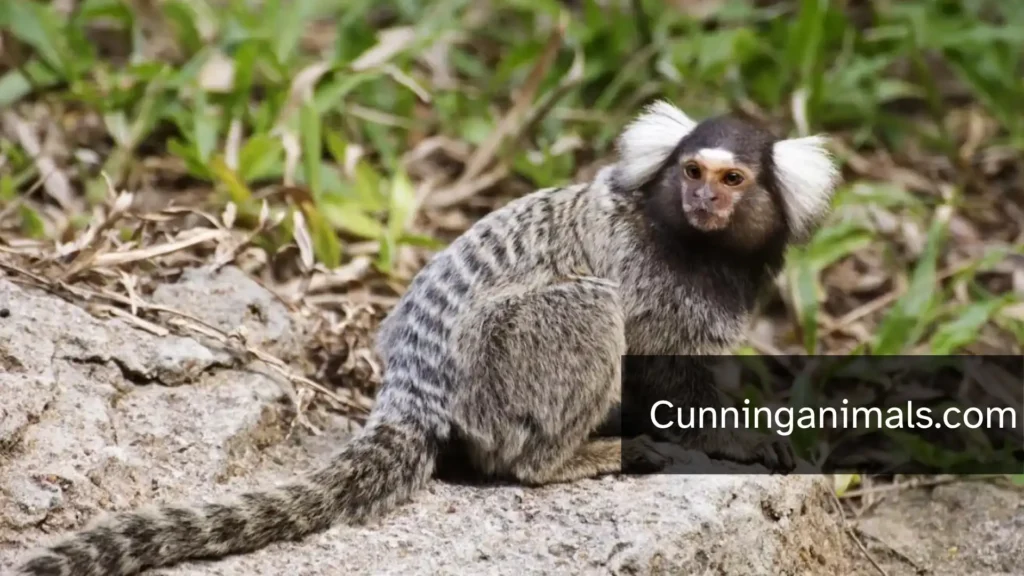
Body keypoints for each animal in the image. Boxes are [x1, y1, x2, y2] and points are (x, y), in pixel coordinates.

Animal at [10, 100, 840, 576]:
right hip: (506, 357)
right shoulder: (655, 284)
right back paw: (586, 457)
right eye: (694, 171)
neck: (694, 244)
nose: (704, 199)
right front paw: (738, 439)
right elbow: (664, 366)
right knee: (581, 324)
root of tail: (414, 385)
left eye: (732, 180)